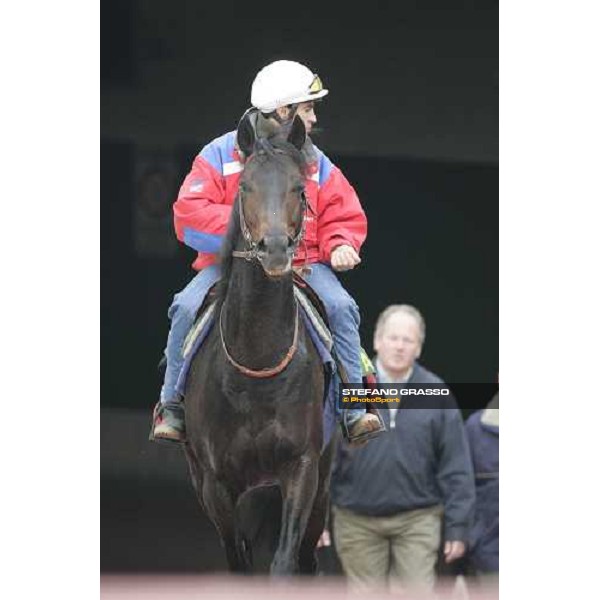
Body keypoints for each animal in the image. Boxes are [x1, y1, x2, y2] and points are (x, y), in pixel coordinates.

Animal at [183, 110, 332, 576]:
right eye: (245, 186)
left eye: (300, 189)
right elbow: (238, 561)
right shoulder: (215, 484)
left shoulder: (302, 468)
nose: (275, 249)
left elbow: (284, 563)